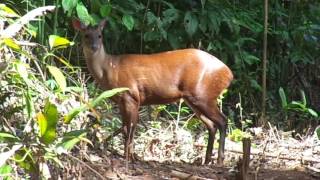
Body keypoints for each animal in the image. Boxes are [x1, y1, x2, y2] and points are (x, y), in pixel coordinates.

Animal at [72, 19, 232, 165]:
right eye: (86, 35)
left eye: (99, 35)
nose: (94, 47)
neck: (109, 69)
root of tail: (229, 74)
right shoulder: (122, 101)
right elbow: (125, 128)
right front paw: (128, 155)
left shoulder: (131, 96)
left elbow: (130, 128)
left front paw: (129, 158)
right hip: (193, 99)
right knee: (211, 125)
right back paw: (206, 160)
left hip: (202, 95)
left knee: (223, 121)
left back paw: (219, 160)